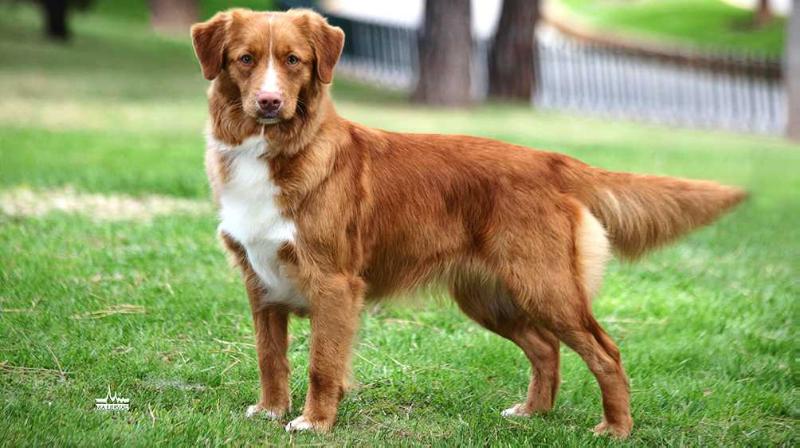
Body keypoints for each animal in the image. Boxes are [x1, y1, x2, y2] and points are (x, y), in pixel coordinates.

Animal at [191, 8, 748, 440]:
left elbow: (322, 364)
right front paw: (271, 411)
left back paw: (616, 428)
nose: (269, 102)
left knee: (605, 352)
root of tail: (550, 160)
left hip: (545, 285)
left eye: (294, 60)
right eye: (245, 59)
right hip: (489, 295)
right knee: (545, 348)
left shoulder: (333, 283)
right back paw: (532, 413)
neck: (273, 152)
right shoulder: (260, 282)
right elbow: (270, 358)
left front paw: (314, 422)